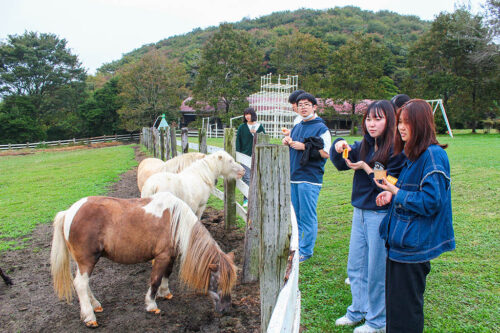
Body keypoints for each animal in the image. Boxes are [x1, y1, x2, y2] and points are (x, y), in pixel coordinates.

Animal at [49, 191, 237, 326]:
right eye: (219, 282)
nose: (226, 310)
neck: (176, 221)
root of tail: (69, 212)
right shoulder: (162, 256)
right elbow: (155, 279)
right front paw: (152, 304)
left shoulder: (170, 256)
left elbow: (166, 275)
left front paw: (165, 293)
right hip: (87, 260)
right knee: (80, 284)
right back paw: (90, 317)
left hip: (82, 262)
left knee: (84, 283)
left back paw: (95, 305)